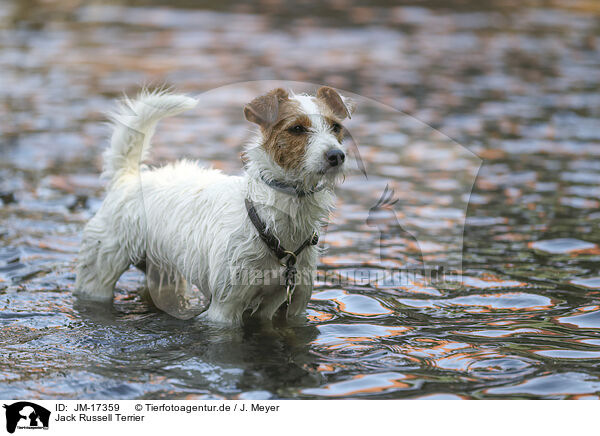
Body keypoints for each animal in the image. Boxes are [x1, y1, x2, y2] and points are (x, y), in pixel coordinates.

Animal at [76, 86, 356, 324]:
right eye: (297, 128)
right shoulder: (225, 310)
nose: (336, 156)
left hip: (165, 275)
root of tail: (129, 178)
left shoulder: (290, 307)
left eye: (336, 127)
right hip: (99, 274)